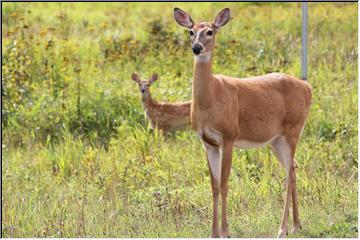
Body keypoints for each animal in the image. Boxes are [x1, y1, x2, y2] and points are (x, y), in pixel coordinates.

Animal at [173, 7, 310, 238]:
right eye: (191, 31)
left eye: (210, 31)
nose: (196, 48)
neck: (211, 99)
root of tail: (308, 88)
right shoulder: (208, 143)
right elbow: (213, 185)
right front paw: (213, 232)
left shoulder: (228, 136)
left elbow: (224, 183)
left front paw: (225, 231)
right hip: (276, 140)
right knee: (293, 168)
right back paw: (296, 225)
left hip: (293, 129)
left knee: (289, 174)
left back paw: (282, 228)